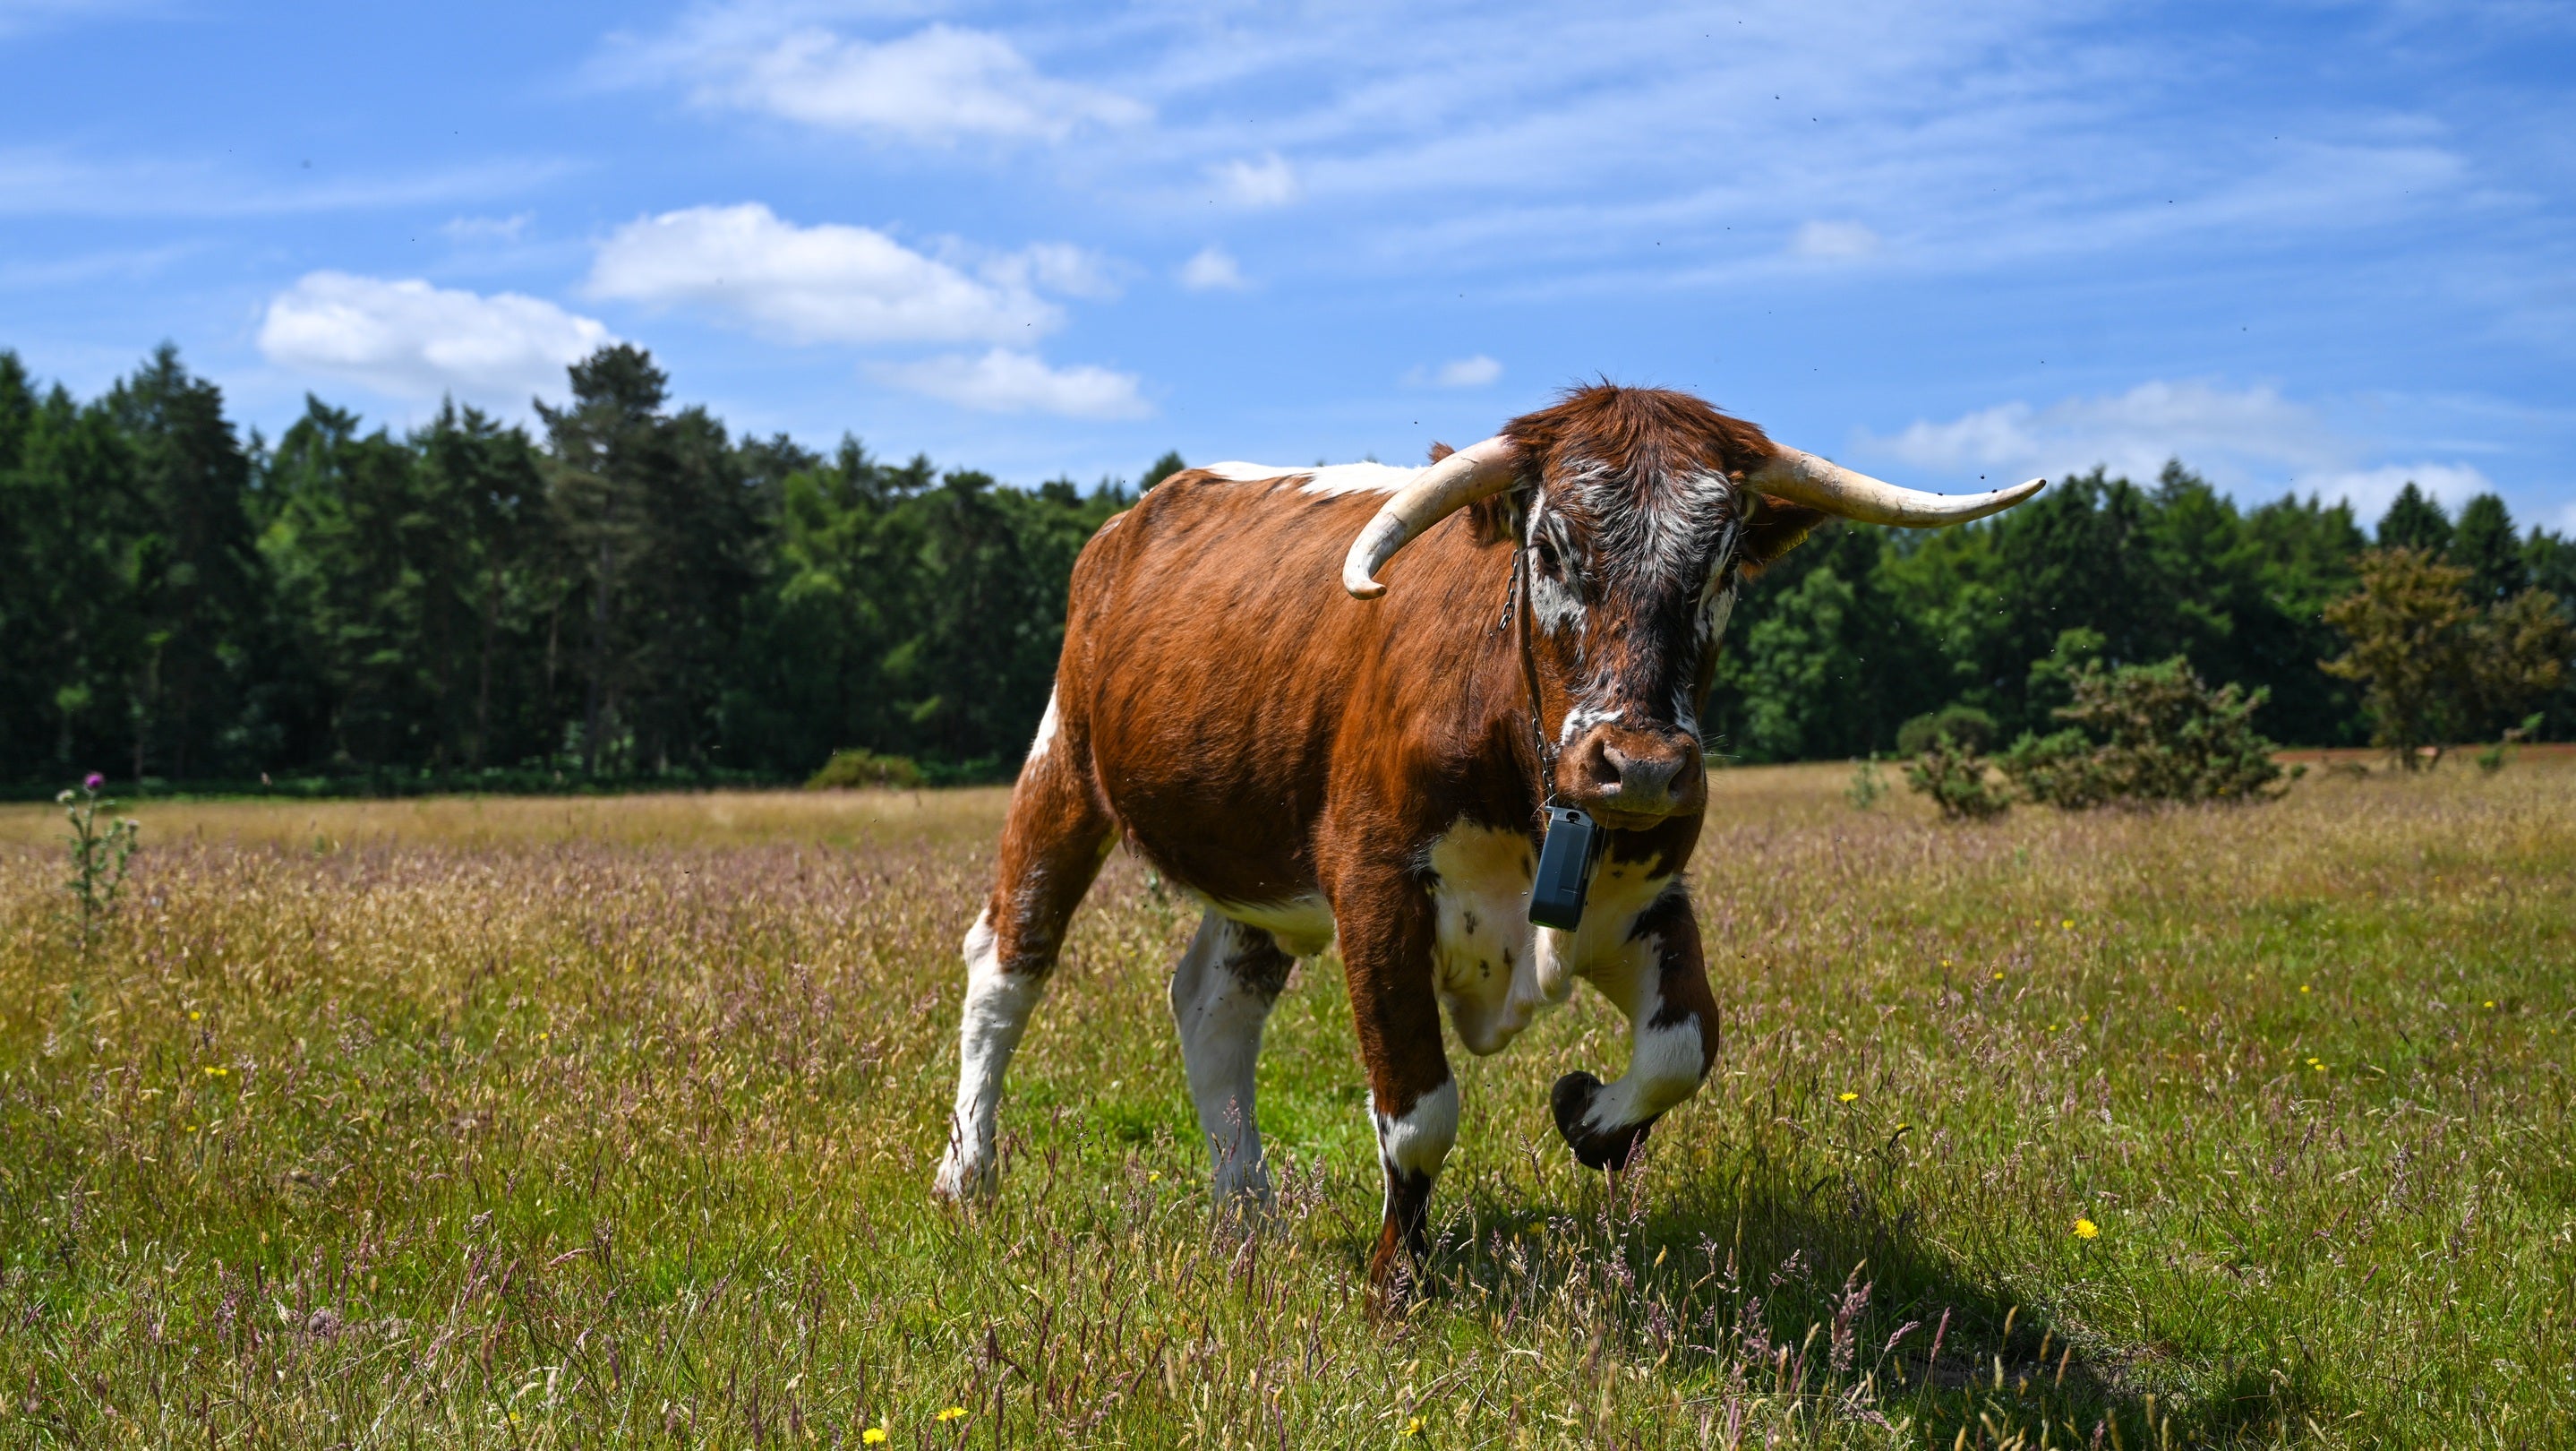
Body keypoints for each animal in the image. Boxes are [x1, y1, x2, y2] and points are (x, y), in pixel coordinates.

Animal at [931, 383, 2043, 1294]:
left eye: (1724, 564)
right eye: (1549, 549)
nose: (1639, 765)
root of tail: (1145, 509)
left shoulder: (1645, 899)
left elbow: (1684, 1045)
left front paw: (1589, 1118)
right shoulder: (1376, 891)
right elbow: (1419, 1111)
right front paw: (1397, 1281)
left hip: (1259, 857)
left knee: (1214, 1008)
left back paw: (1246, 1214)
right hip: (1063, 768)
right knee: (1008, 968)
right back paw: (967, 1175)